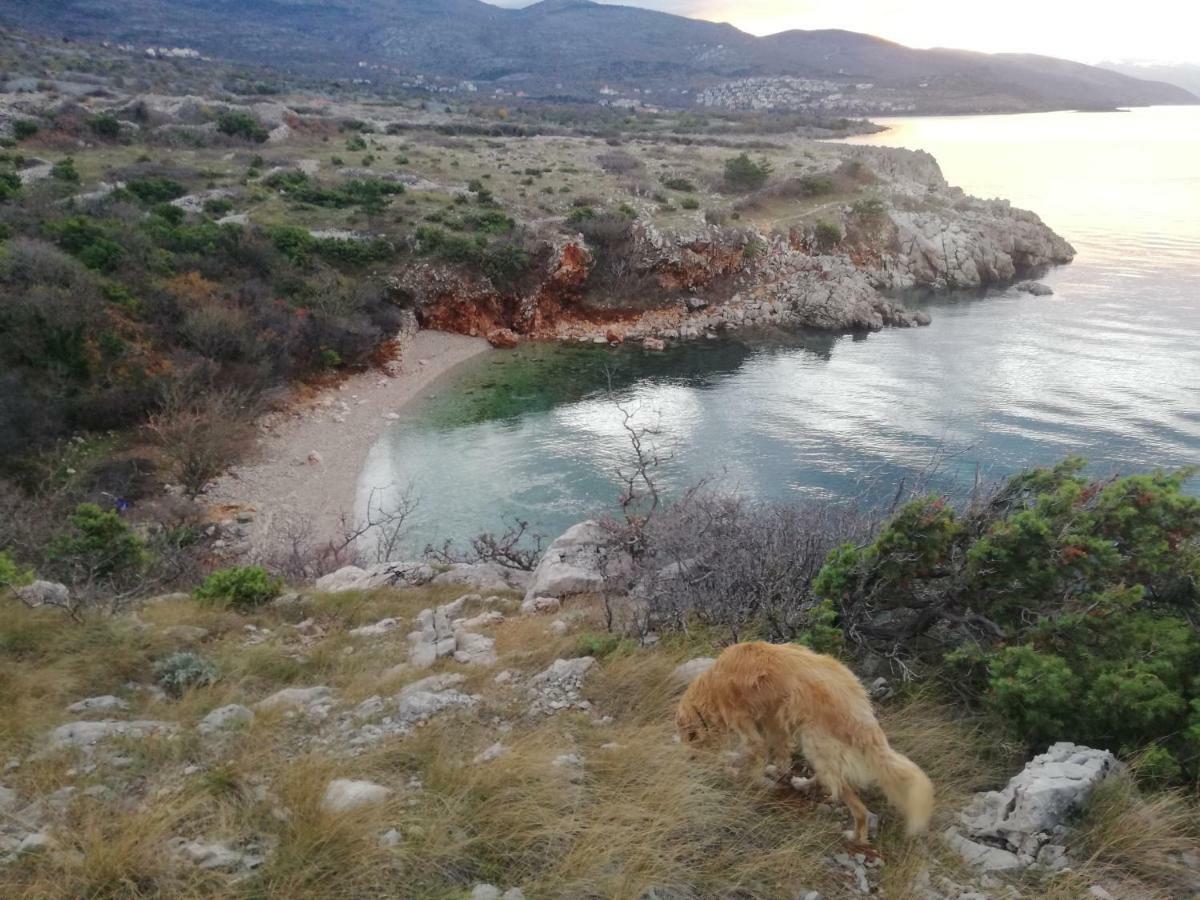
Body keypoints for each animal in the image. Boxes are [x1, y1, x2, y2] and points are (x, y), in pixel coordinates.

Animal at [681, 643, 931, 844]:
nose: (690, 762)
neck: (712, 684)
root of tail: (857, 707)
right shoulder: (774, 723)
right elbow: (780, 755)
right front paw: (772, 772)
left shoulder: (747, 726)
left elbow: (752, 753)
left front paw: (743, 773)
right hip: (818, 747)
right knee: (829, 777)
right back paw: (803, 784)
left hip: (816, 744)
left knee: (856, 806)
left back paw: (856, 836)